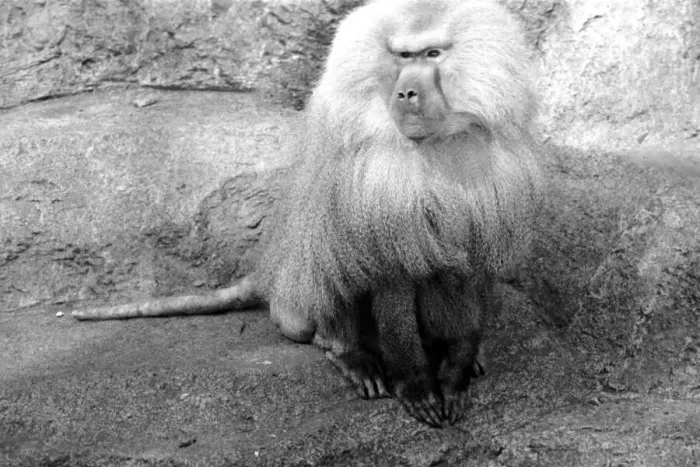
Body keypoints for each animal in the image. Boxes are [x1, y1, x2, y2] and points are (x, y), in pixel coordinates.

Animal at [72, 0, 540, 427]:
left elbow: (471, 269)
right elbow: (389, 274)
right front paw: (418, 387)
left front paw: (455, 376)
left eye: (432, 54)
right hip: (302, 298)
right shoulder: (378, 191)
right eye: (402, 56)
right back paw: (348, 354)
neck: (438, 144)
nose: (406, 93)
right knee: (332, 262)